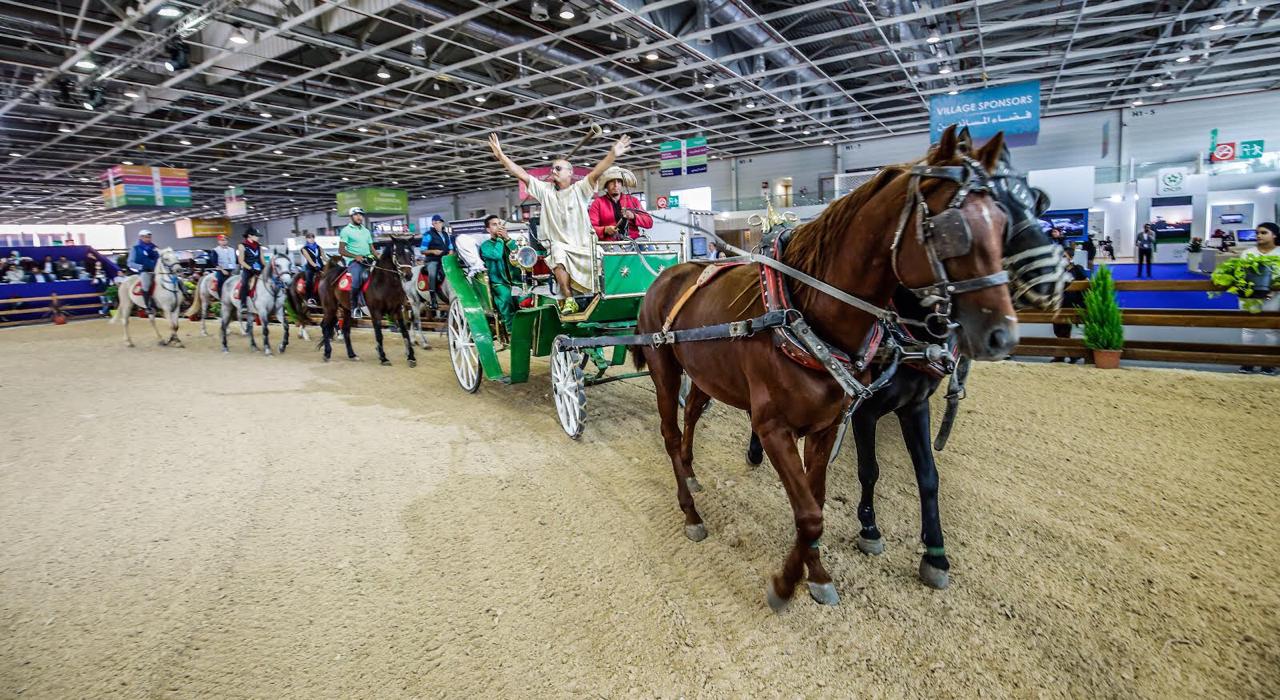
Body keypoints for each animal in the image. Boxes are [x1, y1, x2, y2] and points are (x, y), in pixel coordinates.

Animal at [317, 235, 417, 365]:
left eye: (411, 254)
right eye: (398, 254)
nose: (408, 275)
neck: (384, 283)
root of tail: (326, 275)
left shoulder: (397, 310)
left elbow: (405, 332)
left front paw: (411, 357)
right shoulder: (376, 312)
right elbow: (379, 335)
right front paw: (383, 357)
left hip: (346, 309)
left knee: (345, 330)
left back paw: (352, 355)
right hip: (330, 307)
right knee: (325, 326)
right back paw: (327, 353)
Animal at [637, 128, 1018, 611]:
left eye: (1002, 224)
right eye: (952, 230)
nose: (1003, 334)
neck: (806, 313)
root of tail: (667, 274)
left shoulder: (829, 423)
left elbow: (816, 502)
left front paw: (813, 573)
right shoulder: (776, 427)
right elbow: (810, 512)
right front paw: (785, 584)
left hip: (705, 375)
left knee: (691, 416)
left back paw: (690, 470)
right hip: (664, 370)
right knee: (669, 432)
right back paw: (689, 510)